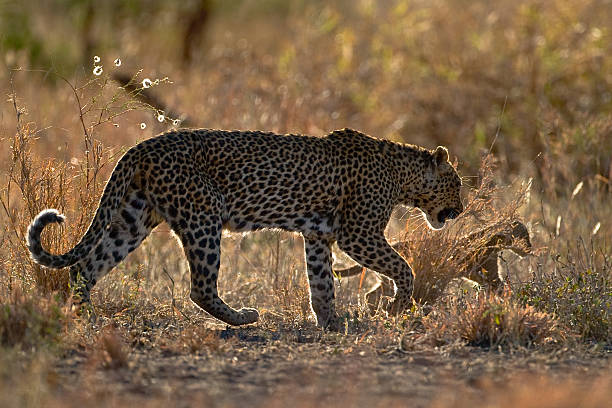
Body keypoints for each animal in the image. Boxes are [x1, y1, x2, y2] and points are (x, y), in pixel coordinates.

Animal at [26, 127, 462, 328]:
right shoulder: (359, 234)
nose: (459, 210)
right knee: (200, 288)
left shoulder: (318, 236)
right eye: (456, 183)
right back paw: (242, 318)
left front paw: (331, 323)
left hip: (132, 220)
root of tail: (143, 146)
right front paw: (396, 305)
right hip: (203, 216)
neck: (401, 174)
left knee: (85, 268)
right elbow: (404, 267)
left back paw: (88, 317)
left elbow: (321, 284)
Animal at [334, 222, 532, 314]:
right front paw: (513, 300)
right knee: (374, 295)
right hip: (392, 278)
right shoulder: (482, 271)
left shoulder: (483, 273)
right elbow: (498, 285)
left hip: (386, 280)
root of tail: (395, 244)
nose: (530, 248)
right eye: (525, 237)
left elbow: (494, 286)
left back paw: (373, 311)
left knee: (372, 294)